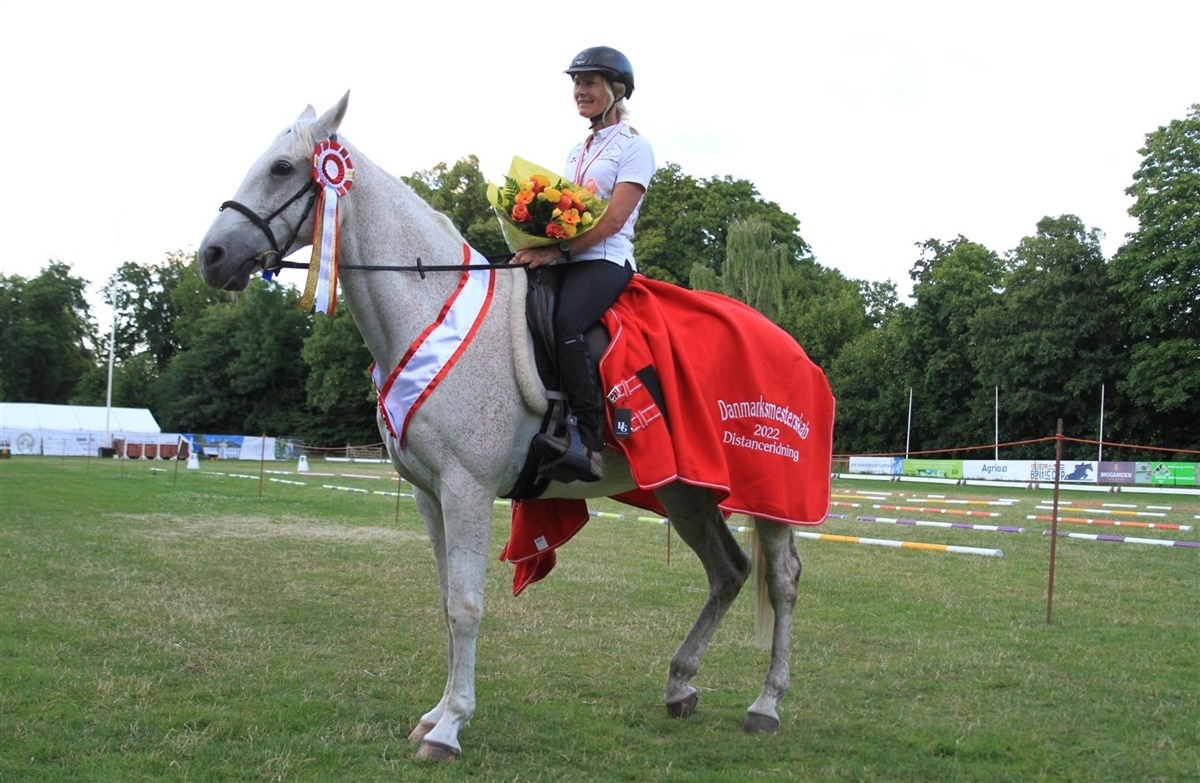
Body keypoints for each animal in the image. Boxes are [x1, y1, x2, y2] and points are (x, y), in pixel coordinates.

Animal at [198, 93, 808, 762]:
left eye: (282, 168)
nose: (211, 258)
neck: (429, 306)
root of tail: (789, 344)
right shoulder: (429, 494)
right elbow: (446, 602)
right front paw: (436, 714)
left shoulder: (467, 489)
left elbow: (466, 606)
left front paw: (449, 728)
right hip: (685, 492)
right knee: (729, 571)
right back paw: (679, 686)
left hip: (767, 495)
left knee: (780, 581)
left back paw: (767, 704)